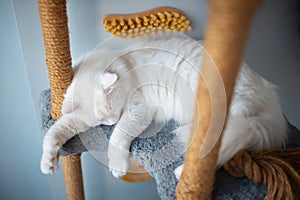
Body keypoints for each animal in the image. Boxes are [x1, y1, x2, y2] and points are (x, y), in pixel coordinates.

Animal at [39, 37, 286, 178]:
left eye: (113, 113)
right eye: (101, 122)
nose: (111, 122)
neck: (123, 66)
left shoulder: (137, 110)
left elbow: (118, 137)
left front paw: (117, 166)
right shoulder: (78, 121)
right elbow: (53, 133)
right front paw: (48, 163)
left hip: (230, 111)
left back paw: (181, 174)